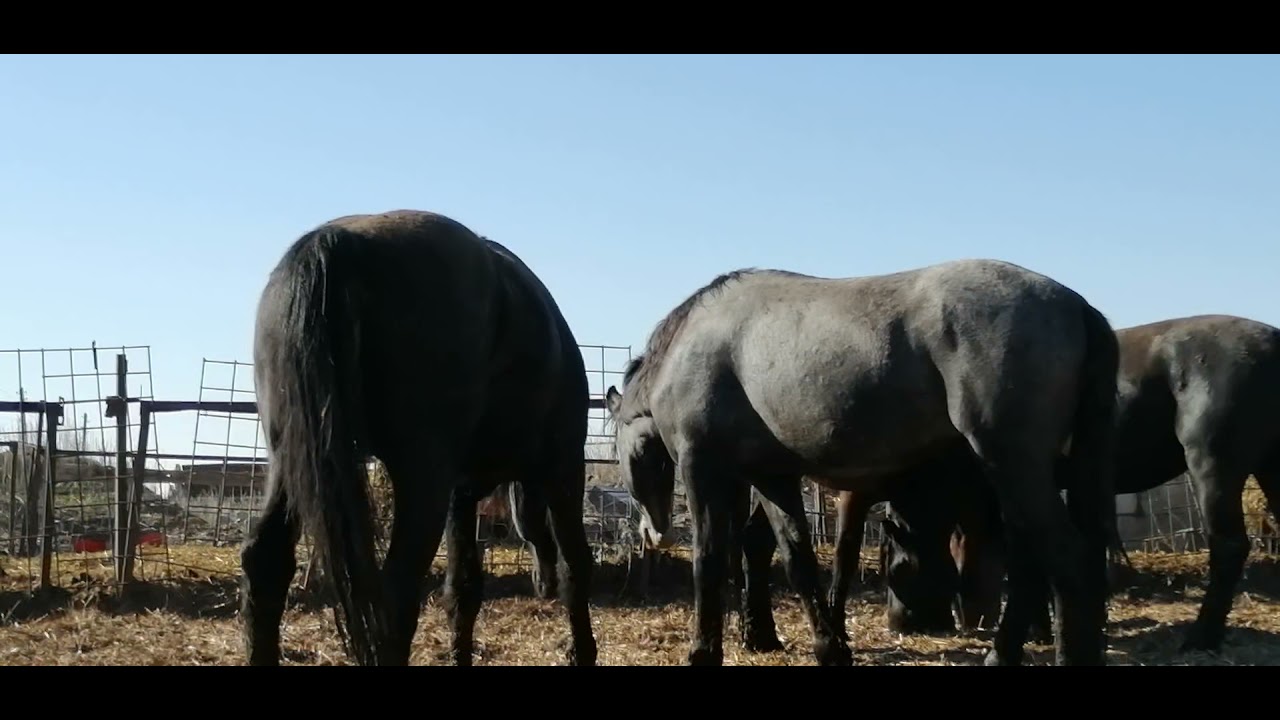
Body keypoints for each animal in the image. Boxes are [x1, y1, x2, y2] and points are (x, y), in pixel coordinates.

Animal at [241, 209, 597, 667]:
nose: (542, 583)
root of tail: (341, 243)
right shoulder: (563, 469)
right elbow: (576, 569)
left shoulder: (461, 494)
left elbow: (464, 590)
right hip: (421, 478)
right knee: (395, 592)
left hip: (295, 460)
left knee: (267, 563)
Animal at [604, 258, 1120, 667]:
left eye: (628, 454)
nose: (653, 531)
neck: (691, 346)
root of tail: (1076, 305)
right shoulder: (773, 479)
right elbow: (798, 559)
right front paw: (830, 647)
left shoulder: (703, 471)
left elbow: (708, 562)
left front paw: (702, 653)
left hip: (1012, 464)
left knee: (1065, 559)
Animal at [884, 313, 1280, 660]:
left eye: (896, 571)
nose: (898, 624)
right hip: (1270, 468)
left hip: (1213, 465)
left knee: (1228, 546)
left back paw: (1201, 638)